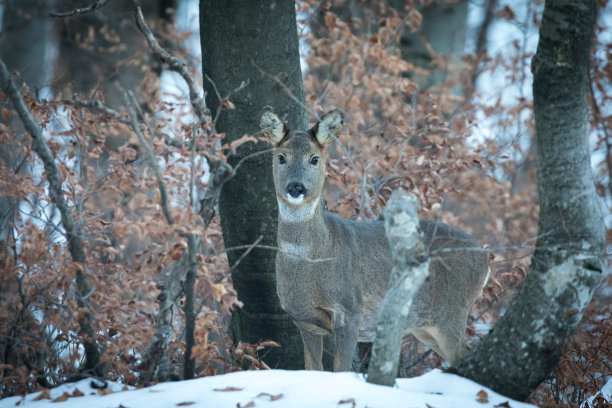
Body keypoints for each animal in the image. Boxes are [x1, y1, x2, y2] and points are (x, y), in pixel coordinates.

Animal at [260, 107, 490, 372]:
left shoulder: (350, 311)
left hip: (452, 310)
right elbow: (313, 369)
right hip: (426, 327)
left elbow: (341, 370)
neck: (316, 255)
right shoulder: (305, 322)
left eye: (314, 158)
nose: (296, 187)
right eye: (281, 157)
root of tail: (486, 258)